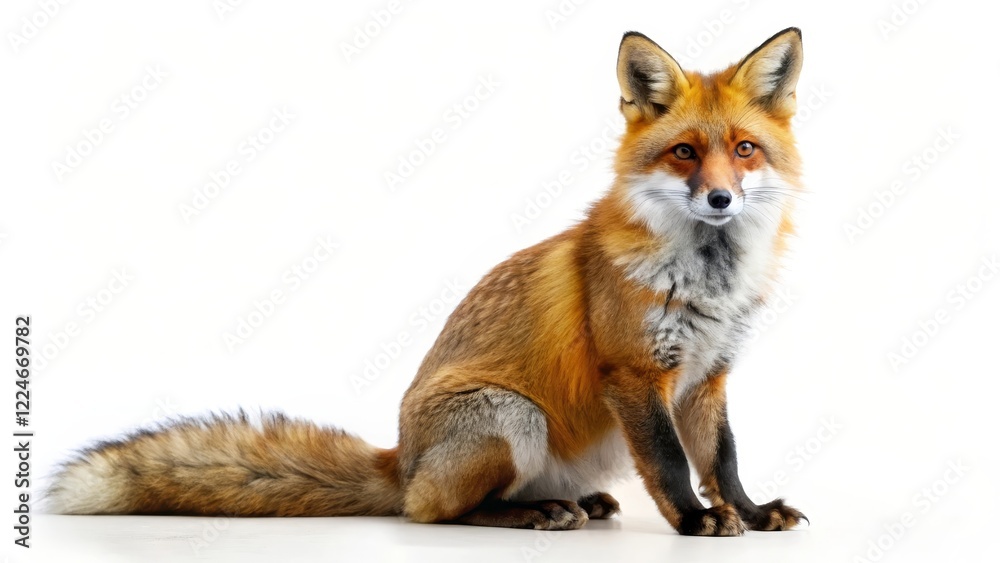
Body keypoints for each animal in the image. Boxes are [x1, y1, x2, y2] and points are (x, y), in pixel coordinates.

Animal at [49, 28, 807, 536]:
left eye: (744, 150)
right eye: (683, 153)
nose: (720, 200)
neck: (709, 279)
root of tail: (402, 460)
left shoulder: (707, 376)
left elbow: (724, 458)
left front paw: (748, 511)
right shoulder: (633, 372)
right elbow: (673, 463)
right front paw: (695, 521)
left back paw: (576, 503)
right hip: (512, 416)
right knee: (433, 511)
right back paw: (531, 510)